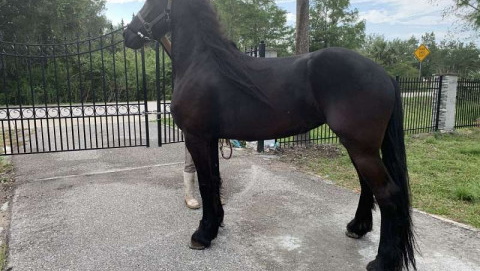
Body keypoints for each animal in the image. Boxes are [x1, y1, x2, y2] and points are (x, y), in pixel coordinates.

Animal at [124, 1, 416, 270]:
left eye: (152, 3)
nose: (127, 34)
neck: (203, 64)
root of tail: (385, 75)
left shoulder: (196, 137)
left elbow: (206, 183)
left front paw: (203, 235)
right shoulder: (212, 138)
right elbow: (216, 181)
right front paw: (216, 224)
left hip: (361, 148)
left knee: (388, 193)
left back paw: (383, 261)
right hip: (359, 147)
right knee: (367, 186)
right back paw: (357, 227)